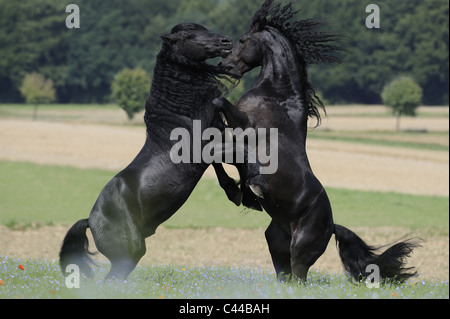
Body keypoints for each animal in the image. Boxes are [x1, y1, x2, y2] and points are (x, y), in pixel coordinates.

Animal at [60, 23, 243, 280]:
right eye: (189, 35)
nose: (226, 41)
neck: (179, 116)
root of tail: (90, 220)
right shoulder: (206, 149)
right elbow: (237, 153)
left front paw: (234, 191)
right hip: (128, 254)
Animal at [213, 0, 420, 284]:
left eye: (243, 40)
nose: (224, 65)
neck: (277, 94)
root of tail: (331, 225)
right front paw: (243, 190)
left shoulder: (245, 125)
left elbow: (220, 111)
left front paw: (248, 186)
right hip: (277, 245)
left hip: (300, 251)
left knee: (301, 280)